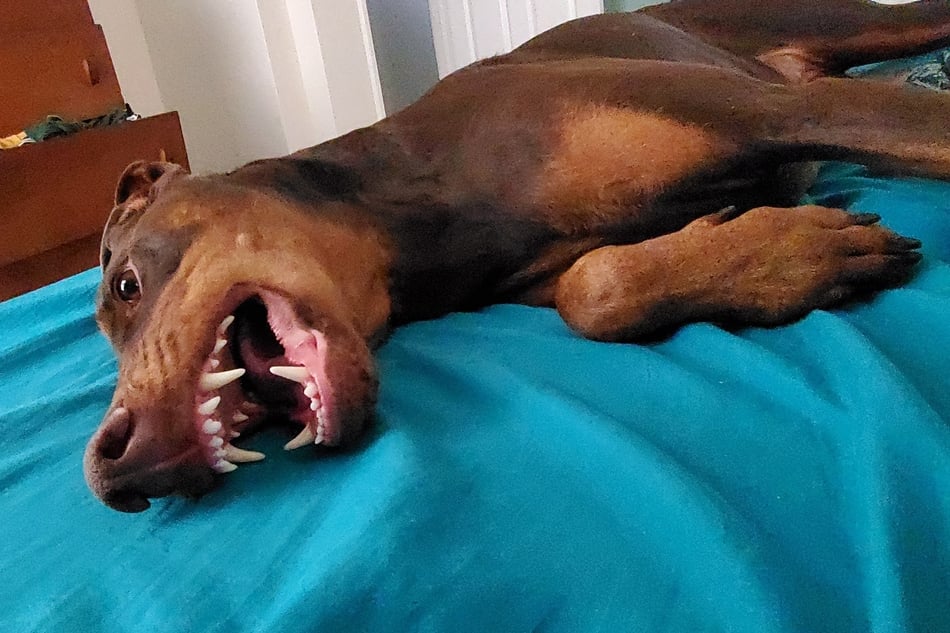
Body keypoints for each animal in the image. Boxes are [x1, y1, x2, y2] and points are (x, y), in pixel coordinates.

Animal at [85, 0, 950, 512]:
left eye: (124, 287)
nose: (114, 468)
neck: (405, 213)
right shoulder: (540, 274)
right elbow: (593, 291)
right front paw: (794, 251)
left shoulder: (778, 113)